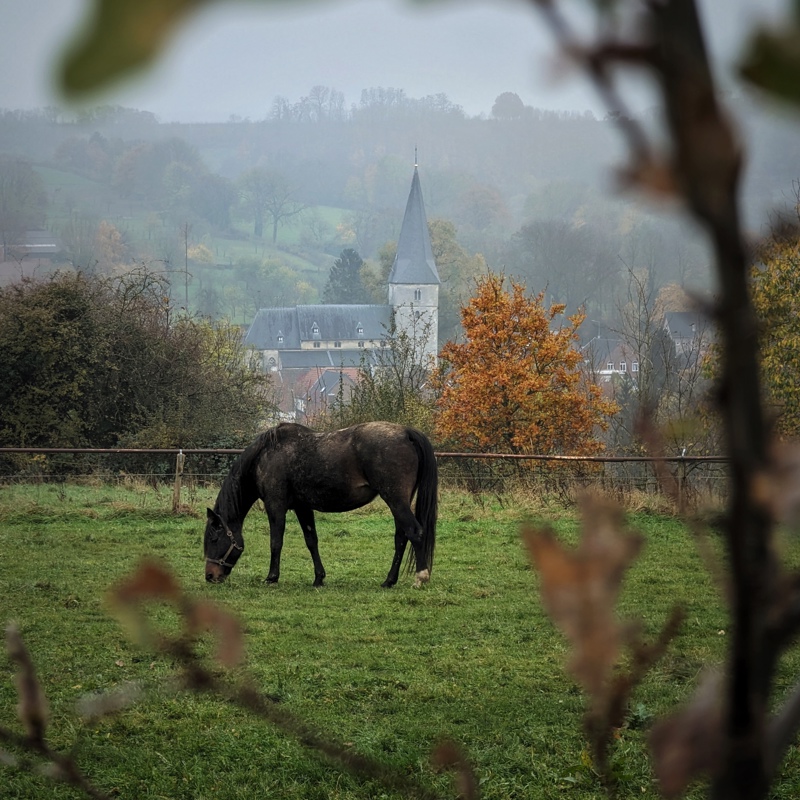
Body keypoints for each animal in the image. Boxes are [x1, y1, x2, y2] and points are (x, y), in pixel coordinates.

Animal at [202, 424, 438, 588]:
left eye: (214, 538)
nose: (210, 575)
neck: (266, 455)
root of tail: (406, 432)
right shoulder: (302, 507)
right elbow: (311, 541)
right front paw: (318, 578)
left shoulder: (275, 506)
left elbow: (276, 542)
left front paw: (272, 577)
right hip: (399, 502)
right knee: (401, 538)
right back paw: (389, 581)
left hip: (395, 499)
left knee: (414, 532)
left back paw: (420, 577)